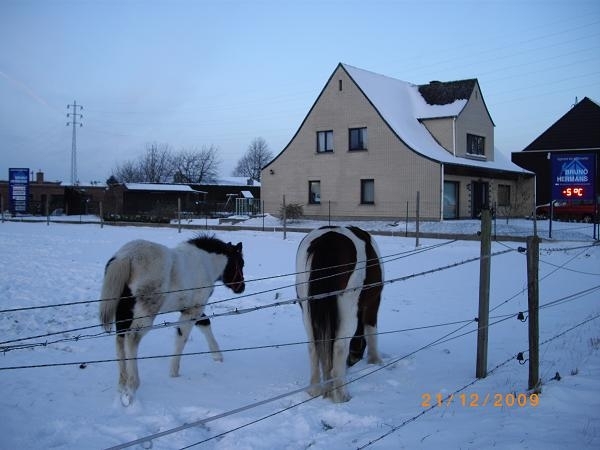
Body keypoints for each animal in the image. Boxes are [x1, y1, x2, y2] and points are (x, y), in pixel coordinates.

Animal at [99, 236, 245, 404]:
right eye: (240, 263)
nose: (242, 287)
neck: (205, 262)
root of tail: (126, 257)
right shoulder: (193, 310)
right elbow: (182, 337)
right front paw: (174, 372)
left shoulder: (191, 309)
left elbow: (205, 324)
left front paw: (217, 356)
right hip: (145, 314)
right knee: (132, 338)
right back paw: (131, 387)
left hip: (124, 314)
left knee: (120, 340)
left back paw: (122, 384)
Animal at [296, 227, 384, 402]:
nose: (352, 361)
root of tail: (328, 240)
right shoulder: (373, 302)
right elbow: (371, 331)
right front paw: (375, 361)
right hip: (347, 310)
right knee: (339, 347)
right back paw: (342, 395)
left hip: (307, 309)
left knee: (313, 346)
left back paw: (316, 390)